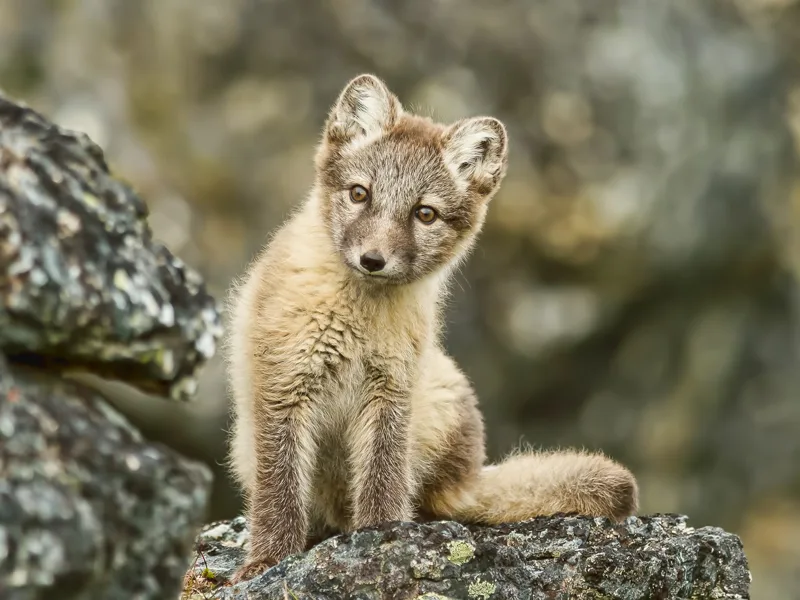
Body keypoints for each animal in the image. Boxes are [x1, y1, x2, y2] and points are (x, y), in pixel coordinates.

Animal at [225, 73, 638, 582]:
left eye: (425, 213)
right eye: (359, 193)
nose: (373, 260)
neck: (356, 326)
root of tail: (467, 477)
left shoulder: (391, 393)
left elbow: (382, 481)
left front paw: (380, 538)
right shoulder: (284, 386)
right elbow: (278, 492)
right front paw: (267, 562)